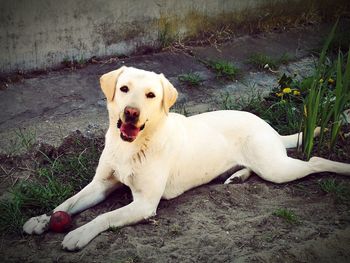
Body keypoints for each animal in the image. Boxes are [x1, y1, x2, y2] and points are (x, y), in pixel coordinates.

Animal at [22, 66, 350, 252]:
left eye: (151, 95)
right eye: (124, 89)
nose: (131, 113)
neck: (133, 145)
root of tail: (268, 125)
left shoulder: (144, 204)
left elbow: (105, 216)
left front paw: (78, 233)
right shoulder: (101, 185)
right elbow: (67, 203)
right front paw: (42, 219)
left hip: (276, 168)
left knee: (316, 161)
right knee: (253, 169)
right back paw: (236, 176)